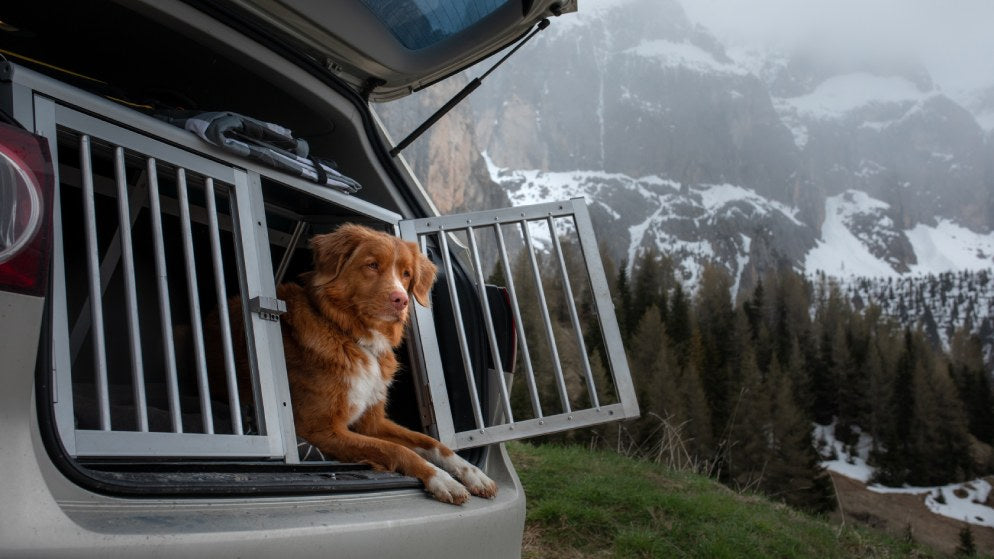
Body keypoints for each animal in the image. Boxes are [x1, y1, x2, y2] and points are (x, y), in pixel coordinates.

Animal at [219, 225, 494, 506]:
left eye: (406, 274)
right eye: (372, 265)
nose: (401, 300)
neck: (353, 337)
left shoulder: (371, 421)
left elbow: (431, 442)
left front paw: (472, 473)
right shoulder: (321, 429)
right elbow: (397, 449)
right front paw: (441, 479)